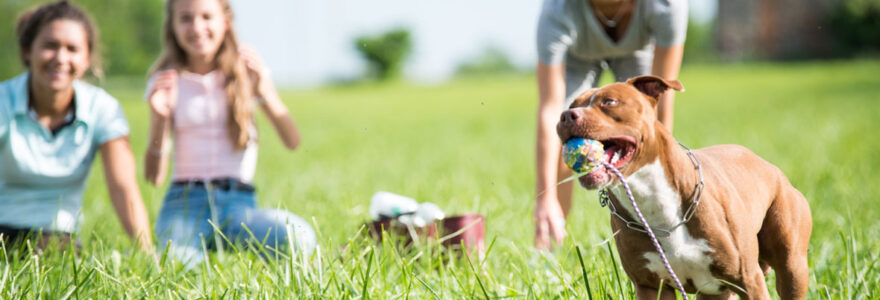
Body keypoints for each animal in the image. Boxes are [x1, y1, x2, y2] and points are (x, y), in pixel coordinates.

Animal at [556, 76, 812, 298]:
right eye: (572, 105)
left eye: (609, 101)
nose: (566, 115)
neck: (651, 198)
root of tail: (770, 167)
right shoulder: (650, 287)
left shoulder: (749, 281)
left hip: (792, 266)